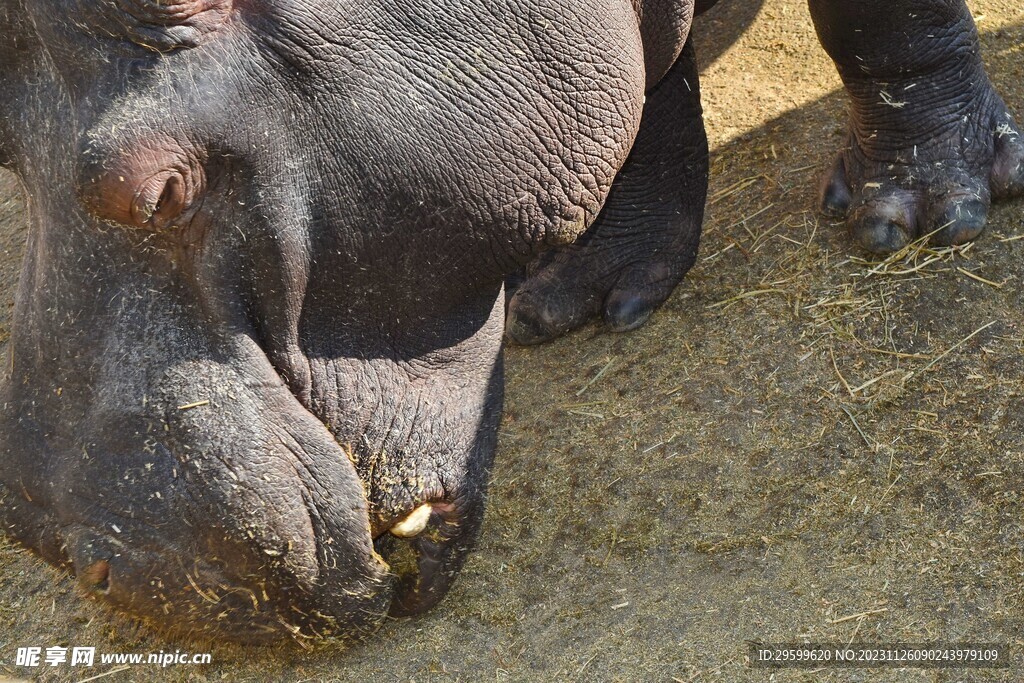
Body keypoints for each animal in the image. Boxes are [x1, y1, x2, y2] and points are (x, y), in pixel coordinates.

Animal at [0, 0, 1019, 643]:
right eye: (5, 149)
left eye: (159, 189)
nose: (78, 551)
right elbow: (653, 82)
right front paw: (582, 295)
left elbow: (879, 22)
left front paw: (917, 213)